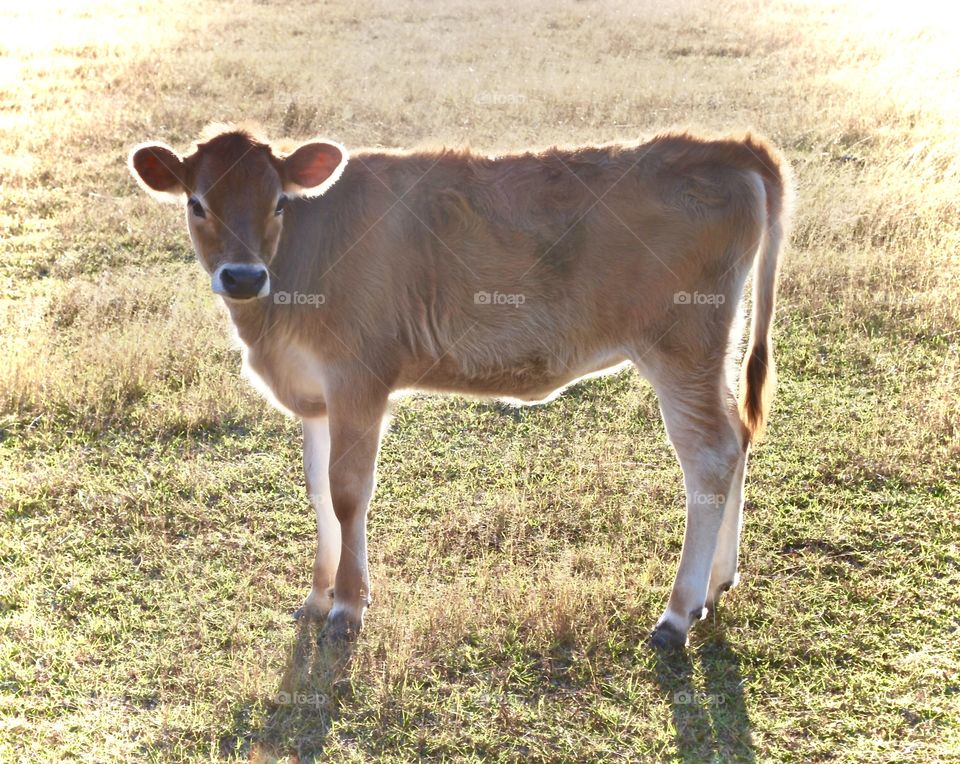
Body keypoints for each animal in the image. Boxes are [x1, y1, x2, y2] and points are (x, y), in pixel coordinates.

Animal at [128, 123, 790, 648]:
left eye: (279, 205)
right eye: (197, 204)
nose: (242, 276)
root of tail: (728, 147)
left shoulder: (358, 380)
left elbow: (348, 494)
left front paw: (347, 607)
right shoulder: (315, 397)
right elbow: (317, 492)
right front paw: (318, 597)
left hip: (681, 347)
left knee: (709, 458)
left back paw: (677, 614)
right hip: (711, 351)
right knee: (736, 440)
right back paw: (717, 584)